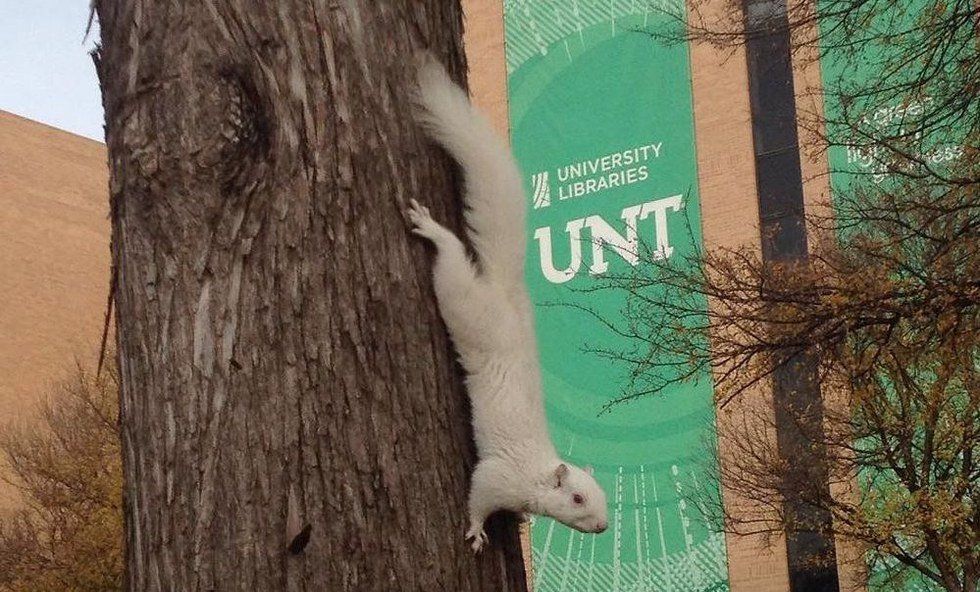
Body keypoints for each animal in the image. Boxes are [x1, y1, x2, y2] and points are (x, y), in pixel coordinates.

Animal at [404, 57, 604, 552]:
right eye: (576, 498)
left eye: (603, 497)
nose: (603, 527)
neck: (534, 476)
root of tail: (504, 289)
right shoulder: (498, 477)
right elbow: (478, 496)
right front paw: (477, 531)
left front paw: (521, 519)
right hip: (465, 303)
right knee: (452, 258)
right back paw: (432, 229)